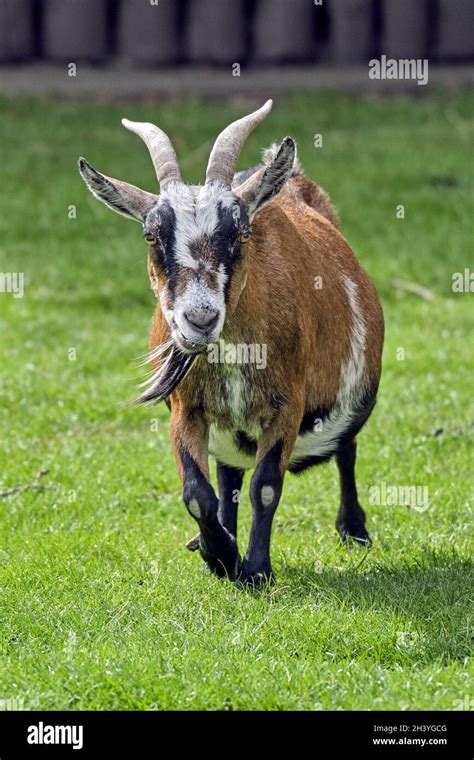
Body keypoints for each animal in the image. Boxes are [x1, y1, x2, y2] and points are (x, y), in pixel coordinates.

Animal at [79, 101, 386, 588]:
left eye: (241, 232)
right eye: (151, 234)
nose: (200, 319)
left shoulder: (287, 405)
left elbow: (266, 487)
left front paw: (256, 569)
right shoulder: (187, 408)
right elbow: (198, 493)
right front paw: (219, 554)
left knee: (346, 448)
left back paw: (353, 529)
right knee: (228, 473)